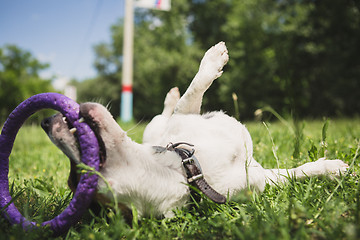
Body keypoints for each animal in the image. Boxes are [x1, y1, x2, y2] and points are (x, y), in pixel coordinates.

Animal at [42, 41, 348, 218]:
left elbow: (193, 90)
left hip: (156, 126)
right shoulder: (258, 179)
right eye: (77, 175)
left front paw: (331, 168)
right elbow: (193, 92)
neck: (185, 167)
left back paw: (170, 95)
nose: (47, 122)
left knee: (164, 113)